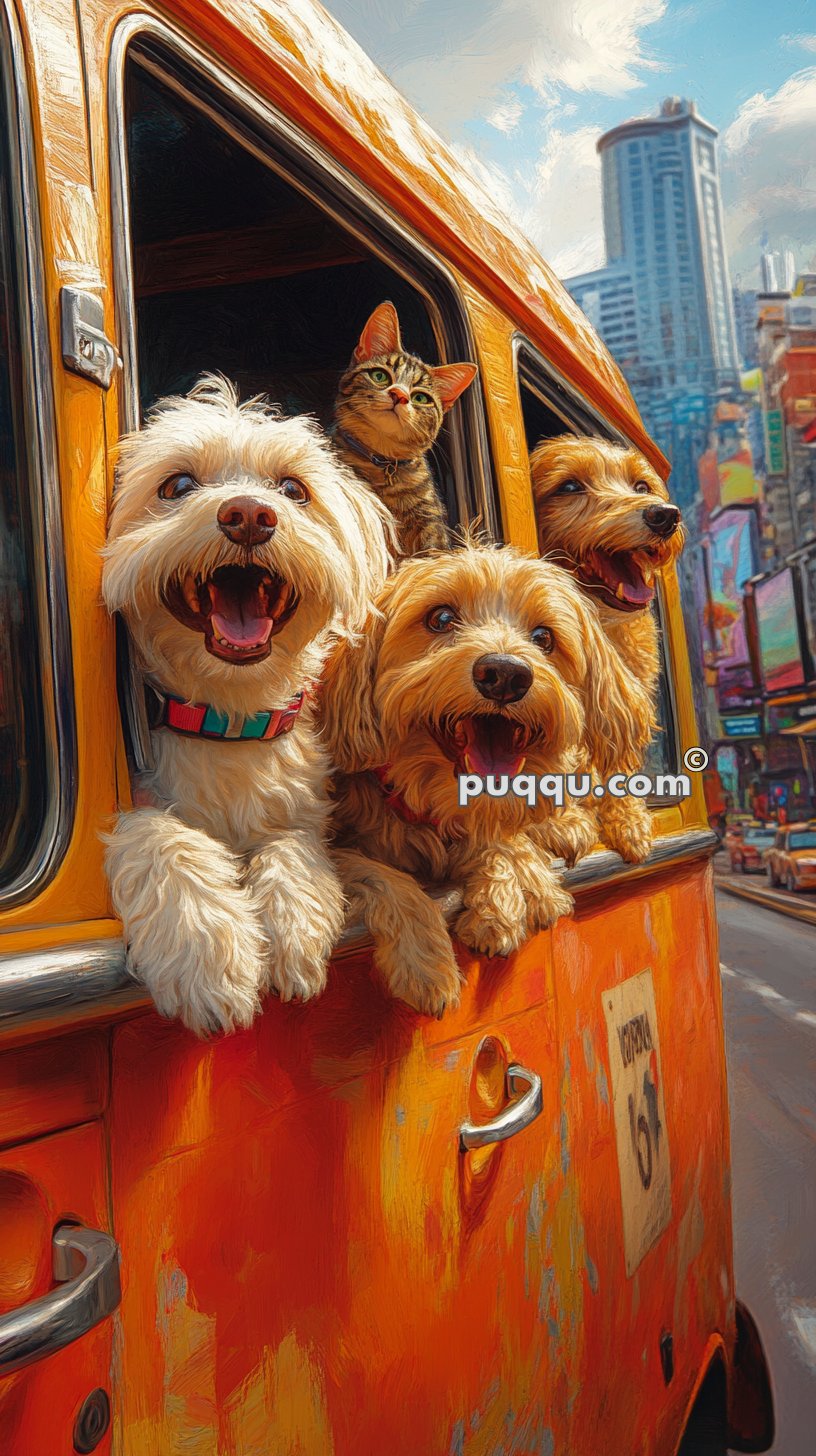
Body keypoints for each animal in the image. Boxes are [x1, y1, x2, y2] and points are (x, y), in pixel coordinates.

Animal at [99, 375, 393, 1036]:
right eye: (177, 485)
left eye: (293, 489)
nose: (250, 515)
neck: (228, 718)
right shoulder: (141, 793)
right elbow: (157, 833)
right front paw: (208, 951)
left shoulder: (302, 811)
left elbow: (292, 844)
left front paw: (294, 929)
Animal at [319, 541, 649, 1019]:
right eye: (440, 618)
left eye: (544, 638)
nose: (505, 674)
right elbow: (380, 874)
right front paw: (427, 964)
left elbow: (495, 838)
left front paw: (506, 897)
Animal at [530, 433, 681, 861]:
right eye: (569, 487)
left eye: (641, 486)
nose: (665, 515)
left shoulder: (620, 703)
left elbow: (618, 762)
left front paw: (627, 819)